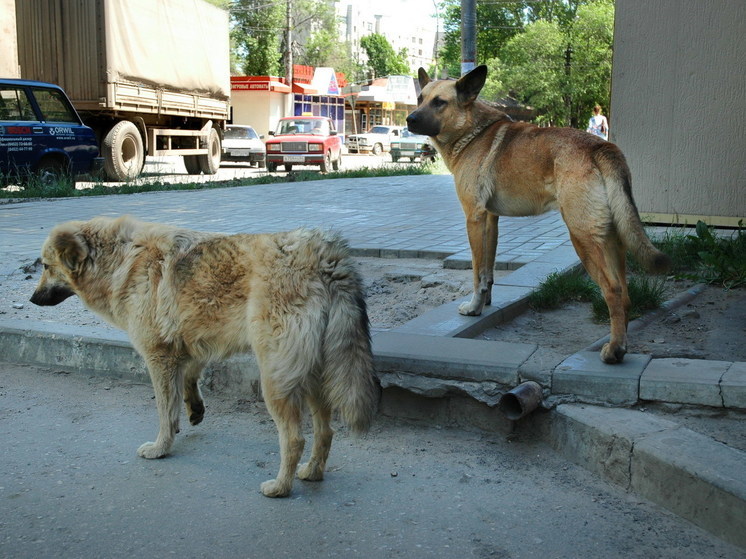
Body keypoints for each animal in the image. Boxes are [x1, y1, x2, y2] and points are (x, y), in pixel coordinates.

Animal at [29, 217, 378, 496]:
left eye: (45, 266)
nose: (32, 299)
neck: (120, 260)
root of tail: (324, 255)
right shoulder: (188, 347)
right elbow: (188, 381)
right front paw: (194, 410)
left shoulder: (158, 358)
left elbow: (164, 411)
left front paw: (161, 447)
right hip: (314, 377)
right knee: (325, 432)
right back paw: (312, 472)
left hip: (276, 381)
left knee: (294, 439)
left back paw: (280, 487)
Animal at [406, 66, 668, 364]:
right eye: (420, 99)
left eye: (439, 102)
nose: (410, 120)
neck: (472, 131)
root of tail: (601, 147)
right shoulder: (490, 221)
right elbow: (488, 272)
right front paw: (485, 304)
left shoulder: (474, 218)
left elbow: (476, 273)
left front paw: (473, 308)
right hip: (612, 240)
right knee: (624, 296)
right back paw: (620, 343)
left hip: (582, 239)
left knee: (612, 291)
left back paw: (614, 350)